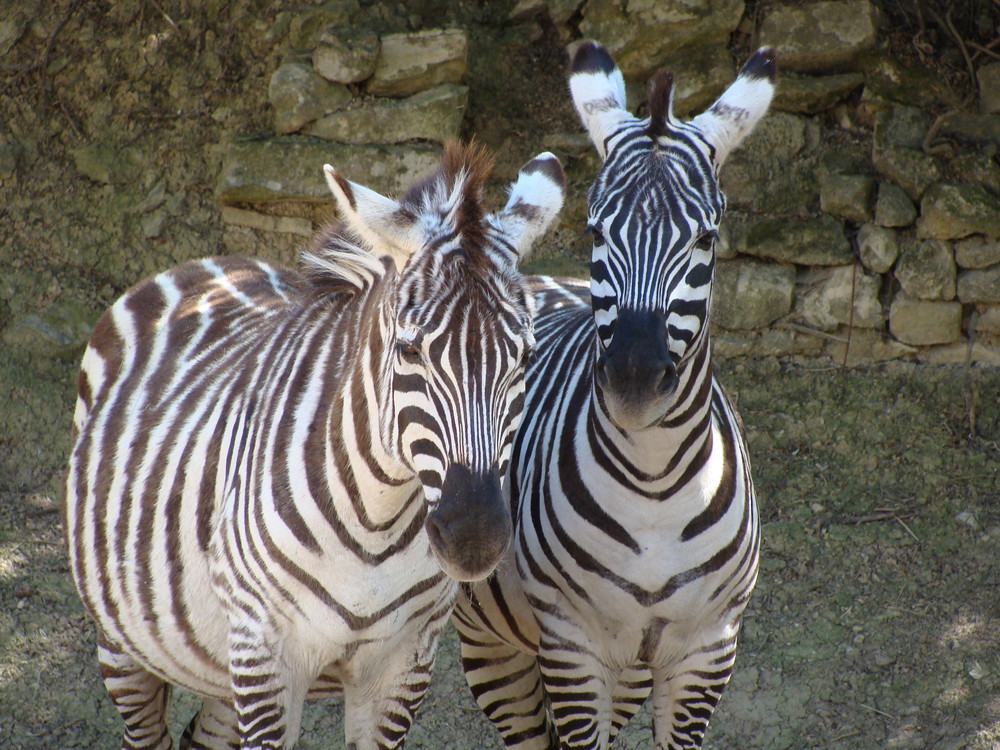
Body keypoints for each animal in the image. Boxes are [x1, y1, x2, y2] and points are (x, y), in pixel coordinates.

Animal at [62, 142, 568, 750]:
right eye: (409, 350)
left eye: (525, 354)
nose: (475, 538)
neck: (377, 524)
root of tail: (204, 263)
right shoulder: (265, 652)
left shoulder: (404, 661)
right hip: (124, 639)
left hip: (219, 662)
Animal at [454, 42, 772, 750]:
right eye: (596, 232)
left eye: (706, 238)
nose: (632, 379)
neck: (655, 483)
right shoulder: (574, 645)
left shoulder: (708, 649)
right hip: (494, 643)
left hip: (629, 669)